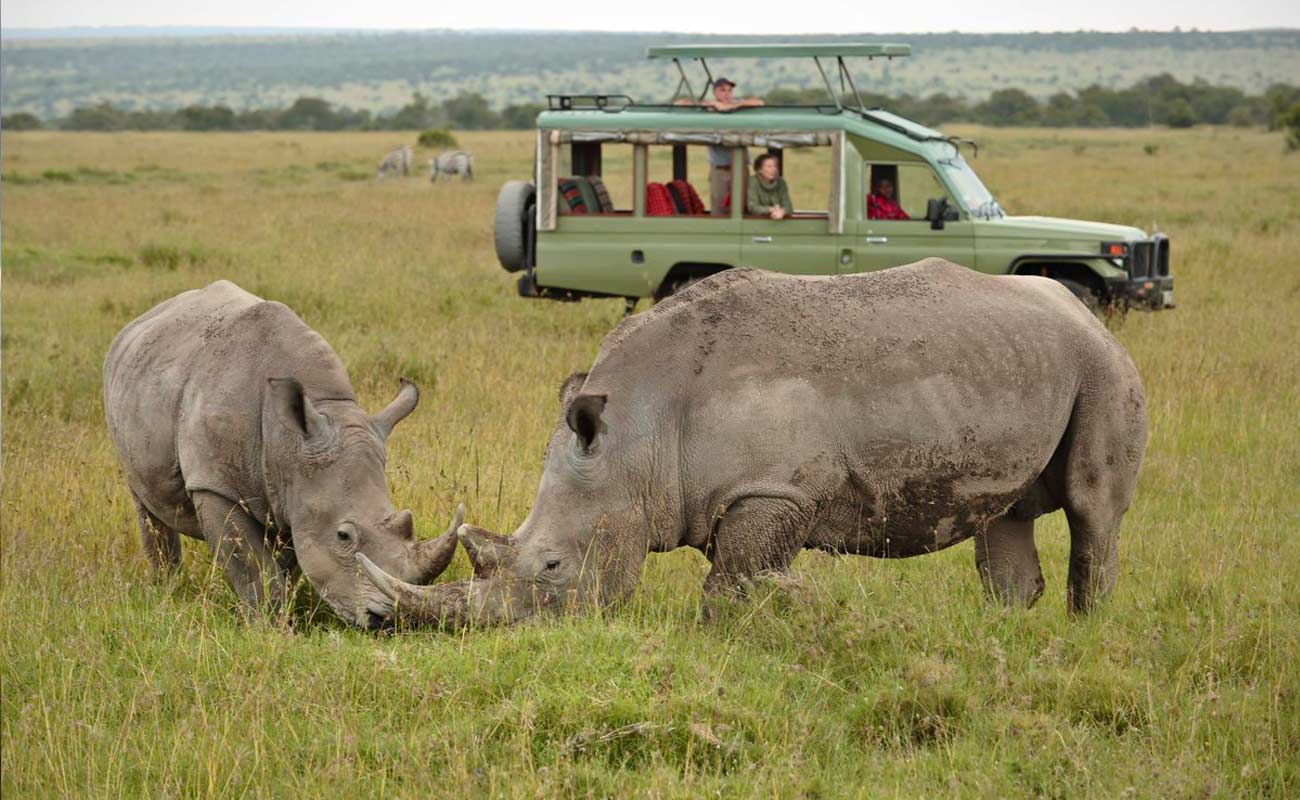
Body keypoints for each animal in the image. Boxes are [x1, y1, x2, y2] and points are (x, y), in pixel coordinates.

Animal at [102, 283, 457, 632]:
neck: (287, 440)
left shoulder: (295, 493)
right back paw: (167, 589)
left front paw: (280, 614)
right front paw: (270, 627)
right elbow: (253, 566)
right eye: (343, 536)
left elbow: (285, 563)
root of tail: (139, 322)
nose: (390, 621)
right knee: (145, 504)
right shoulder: (214, 485)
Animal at [358, 260, 1149, 629]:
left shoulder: (772, 489)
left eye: (551, 566)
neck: (637, 432)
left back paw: (1082, 631)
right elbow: (732, 581)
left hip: (1103, 368)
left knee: (1092, 511)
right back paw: (1005, 635)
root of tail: (1087, 312)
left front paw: (724, 642)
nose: (508, 633)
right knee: (1005, 519)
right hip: (1027, 365)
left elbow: (729, 587)